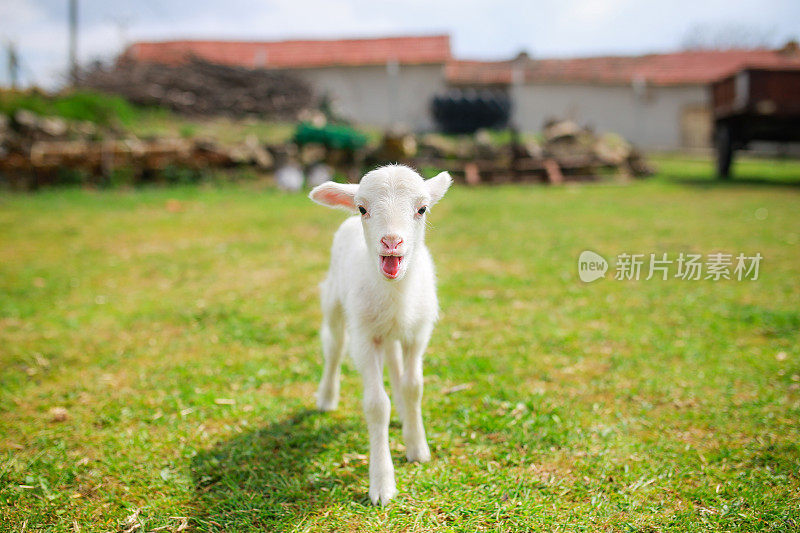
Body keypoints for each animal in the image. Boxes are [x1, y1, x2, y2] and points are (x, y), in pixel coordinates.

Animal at [310, 164, 454, 504]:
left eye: (422, 208)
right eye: (363, 208)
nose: (391, 242)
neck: (395, 293)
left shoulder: (418, 333)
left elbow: (414, 387)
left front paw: (417, 447)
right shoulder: (364, 338)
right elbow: (376, 405)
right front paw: (382, 483)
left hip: (390, 333)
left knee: (395, 365)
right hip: (335, 300)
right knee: (334, 347)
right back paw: (326, 397)